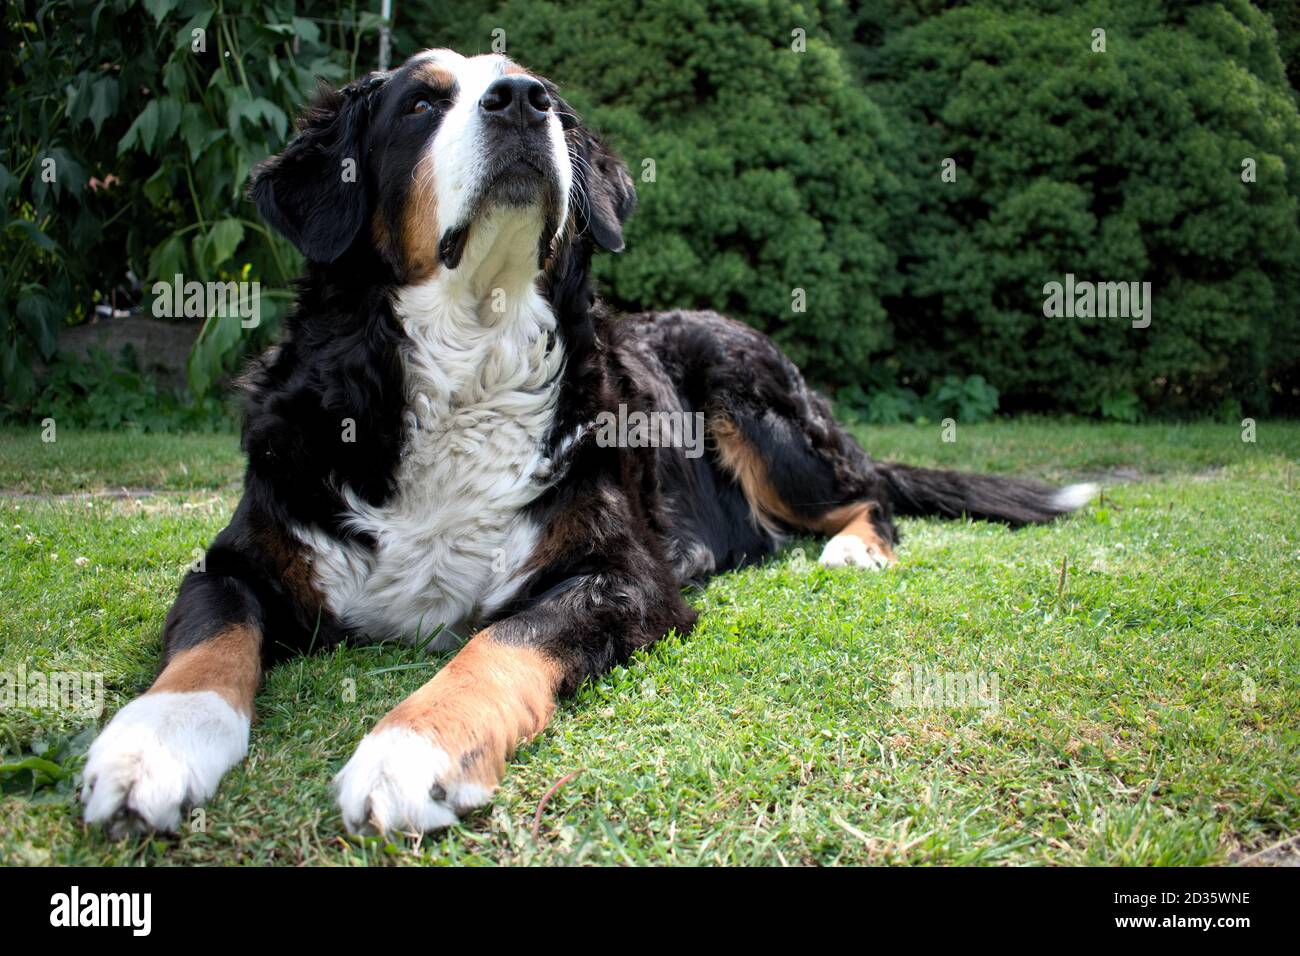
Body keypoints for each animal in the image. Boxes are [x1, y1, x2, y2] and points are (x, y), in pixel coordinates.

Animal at [78, 48, 1097, 837]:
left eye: (547, 96)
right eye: (420, 103)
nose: (521, 100)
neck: (470, 356)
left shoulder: (617, 575)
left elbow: (495, 646)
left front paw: (411, 748)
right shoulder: (238, 559)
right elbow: (210, 642)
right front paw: (148, 747)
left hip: (749, 397)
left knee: (869, 494)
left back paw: (853, 551)